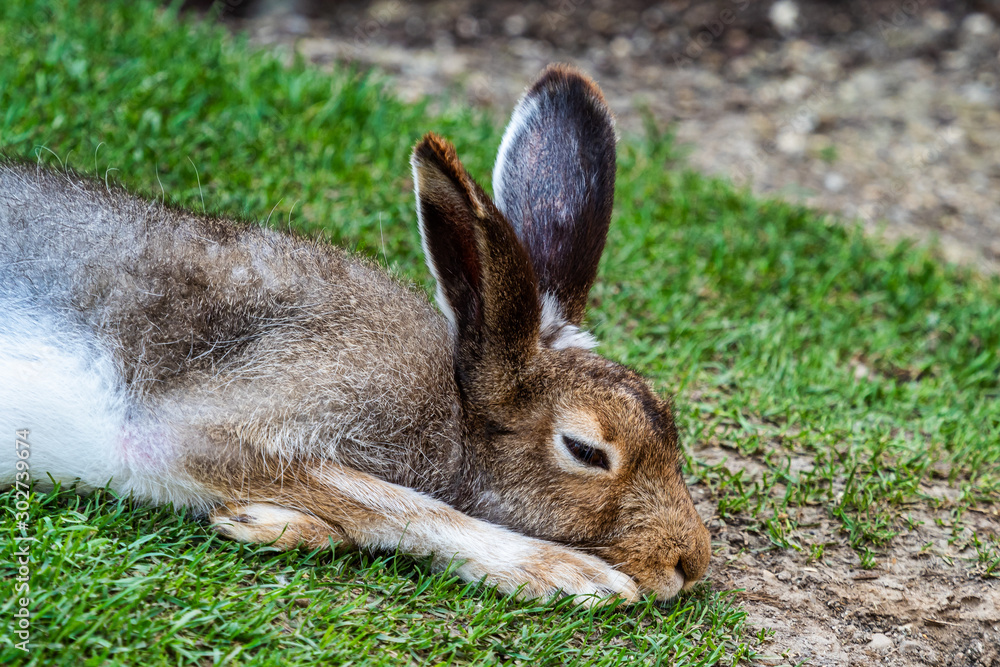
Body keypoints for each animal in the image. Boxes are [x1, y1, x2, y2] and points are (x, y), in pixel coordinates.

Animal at [0, 64, 711, 605]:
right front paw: (571, 575)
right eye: (585, 450)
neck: (455, 407)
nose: (690, 563)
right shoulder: (198, 425)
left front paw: (267, 523)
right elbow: (402, 505)